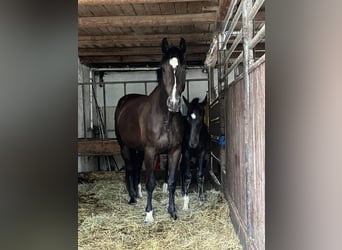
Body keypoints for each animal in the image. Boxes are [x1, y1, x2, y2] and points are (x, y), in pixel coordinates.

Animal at [115, 38, 186, 223]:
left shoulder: (175, 151)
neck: (166, 118)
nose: (173, 103)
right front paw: (149, 214)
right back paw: (132, 198)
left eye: (184, 68)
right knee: (130, 168)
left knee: (136, 168)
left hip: (138, 149)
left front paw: (172, 211)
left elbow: (171, 181)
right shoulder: (150, 151)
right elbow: (151, 183)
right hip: (125, 146)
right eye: (162, 69)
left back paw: (137, 194)